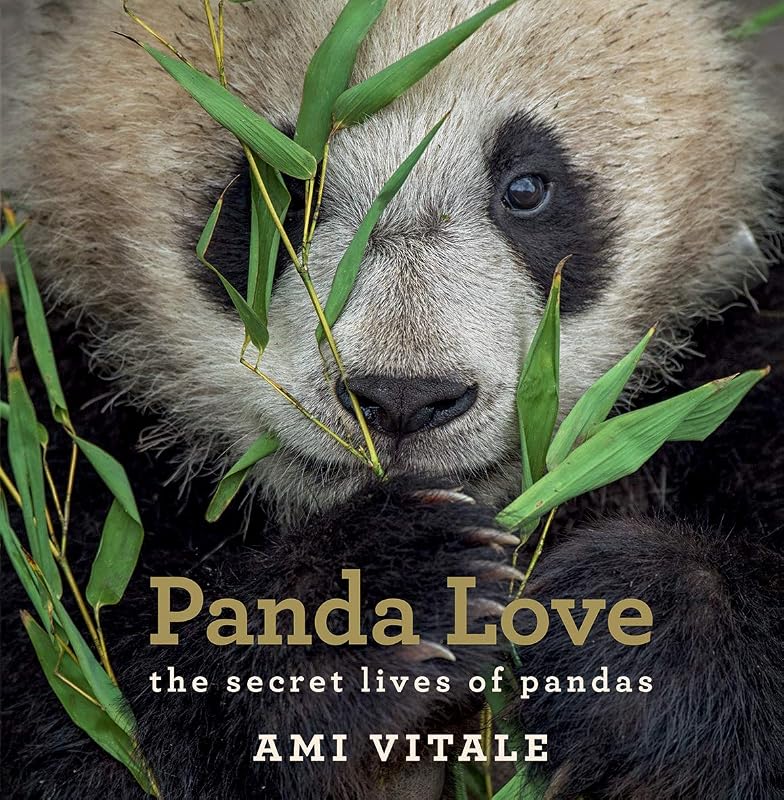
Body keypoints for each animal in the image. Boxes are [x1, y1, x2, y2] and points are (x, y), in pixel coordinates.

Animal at [1, 0, 782, 798]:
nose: (405, 399)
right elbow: (82, 693)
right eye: (286, 192)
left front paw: (625, 628)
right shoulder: (55, 410)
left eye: (527, 188)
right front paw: (384, 596)